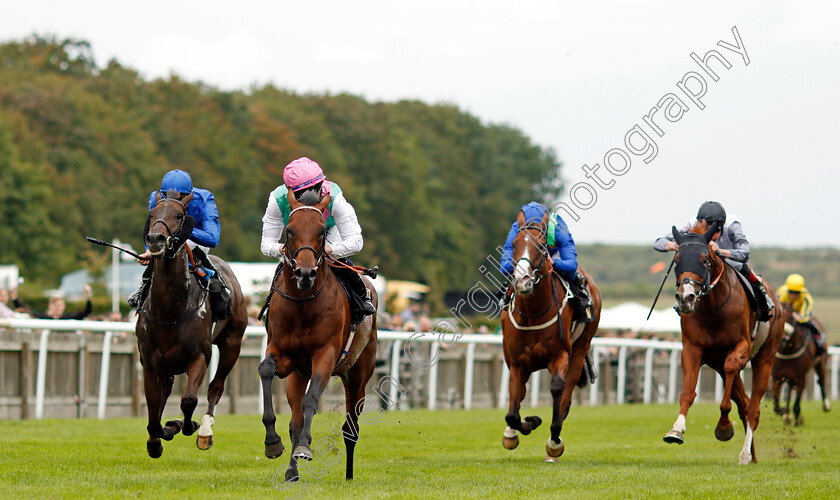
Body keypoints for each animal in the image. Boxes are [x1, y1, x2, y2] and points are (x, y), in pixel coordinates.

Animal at [136, 190, 248, 458]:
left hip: (232, 343)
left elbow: (188, 400)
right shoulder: (150, 363)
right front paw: (157, 438)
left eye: (179, 215)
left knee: (216, 387)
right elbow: (153, 409)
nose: (155, 238)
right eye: (152, 214)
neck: (169, 310)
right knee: (166, 389)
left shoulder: (199, 356)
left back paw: (205, 431)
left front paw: (184, 425)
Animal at [256, 187, 374, 480]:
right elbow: (266, 370)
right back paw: (291, 472)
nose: (305, 273)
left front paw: (304, 448)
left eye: (322, 231)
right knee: (296, 421)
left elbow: (311, 400)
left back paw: (349, 475)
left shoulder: (326, 355)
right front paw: (272, 442)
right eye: (289, 230)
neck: (302, 303)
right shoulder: (283, 355)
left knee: (350, 427)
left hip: (358, 375)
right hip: (298, 375)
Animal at [498, 207, 604, 460]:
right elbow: (513, 412)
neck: (534, 313)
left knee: (566, 394)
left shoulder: (561, 354)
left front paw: (554, 440)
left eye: (540, 246)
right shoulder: (517, 362)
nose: (522, 281)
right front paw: (523, 426)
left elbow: (557, 387)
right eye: (514, 244)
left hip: (580, 348)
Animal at [664, 223, 788, 464]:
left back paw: (745, 454)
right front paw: (676, 430)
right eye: (677, 259)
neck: (713, 308)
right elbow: (688, 392)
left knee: (753, 408)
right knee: (745, 404)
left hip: (765, 358)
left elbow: (727, 398)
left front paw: (723, 427)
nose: (685, 298)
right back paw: (753, 456)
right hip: (719, 364)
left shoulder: (741, 348)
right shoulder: (693, 349)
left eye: (704, 259)